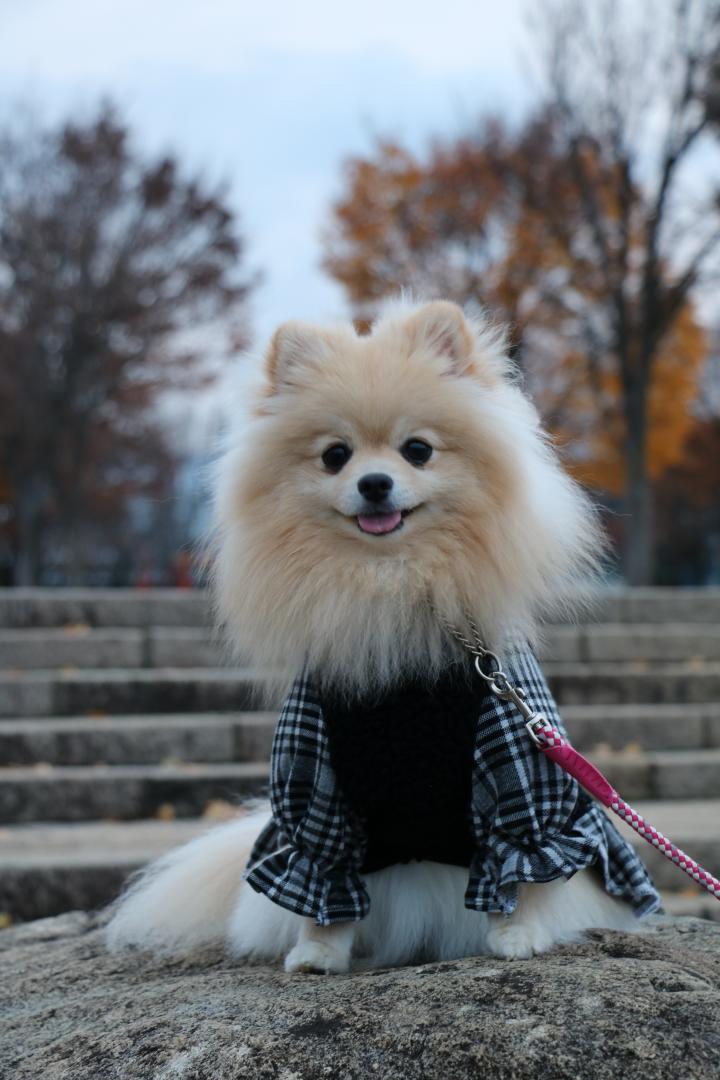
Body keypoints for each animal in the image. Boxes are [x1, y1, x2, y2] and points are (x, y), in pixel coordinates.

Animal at [106, 302, 660, 972]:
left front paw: (517, 934)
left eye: (417, 450)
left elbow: (521, 864)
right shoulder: (317, 786)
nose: (373, 483)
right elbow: (323, 875)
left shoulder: (522, 776)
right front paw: (318, 950)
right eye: (334, 455)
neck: (389, 583)